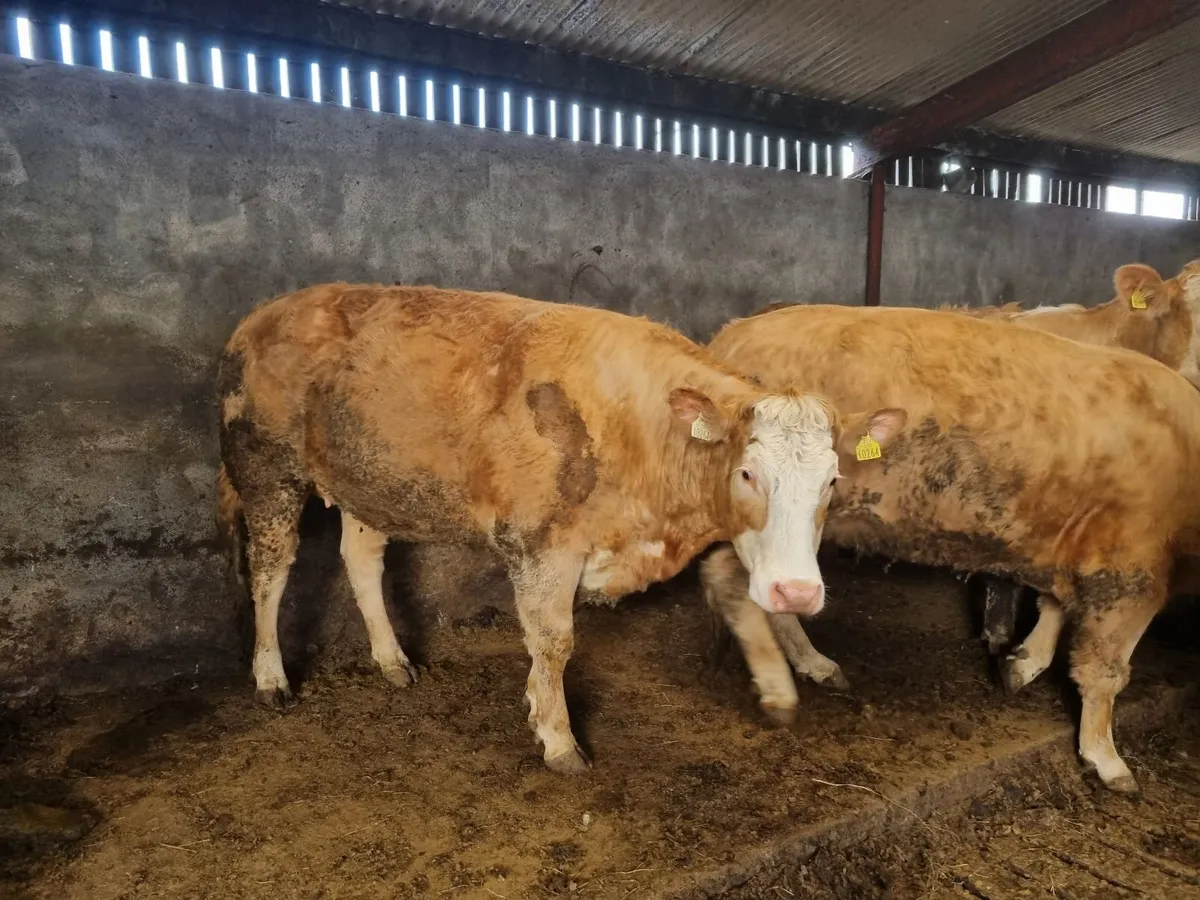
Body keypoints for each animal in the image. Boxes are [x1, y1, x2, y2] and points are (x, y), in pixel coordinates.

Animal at [215, 283, 897, 773]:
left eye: (832, 480)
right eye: (749, 473)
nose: (799, 592)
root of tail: (261, 315)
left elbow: (742, 594)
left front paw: (786, 678)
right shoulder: (541, 544)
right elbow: (553, 643)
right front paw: (559, 739)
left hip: (371, 480)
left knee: (361, 560)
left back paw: (392, 660)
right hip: (266, 469)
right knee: (272, 571)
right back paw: (271, 676)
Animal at [701, 303, 1200, 792]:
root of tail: (731, 334)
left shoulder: (1072, 544)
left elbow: (1055, 607)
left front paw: (1022, 664)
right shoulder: (1133, 570)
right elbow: (1105, 671)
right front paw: (1107, 759)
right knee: (732, 579)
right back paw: (790, 680)